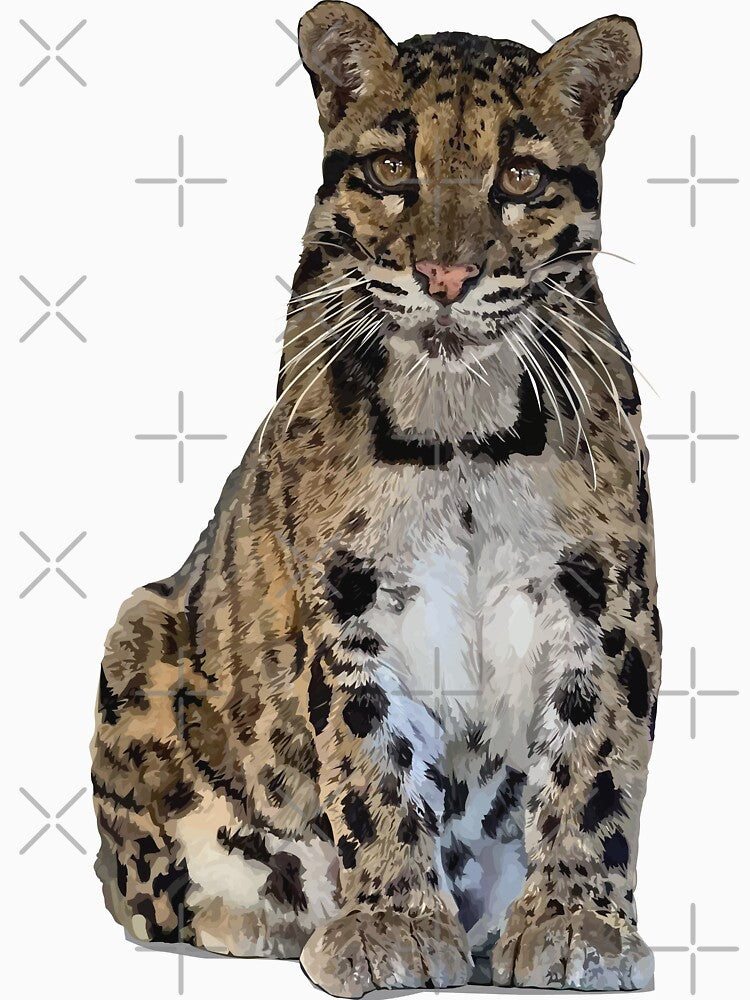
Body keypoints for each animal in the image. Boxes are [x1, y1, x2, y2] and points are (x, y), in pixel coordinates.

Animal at [91, 3, 660, 994]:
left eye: (519, 176)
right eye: (394, 168)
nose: (445, 278)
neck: (462, 426)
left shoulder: (607, 596)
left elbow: (594, 762)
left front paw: (574, 920)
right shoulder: (347, 600)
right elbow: (371, 762)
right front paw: (392, 923)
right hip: (138, 631)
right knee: (152, 891)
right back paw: (273, 917)